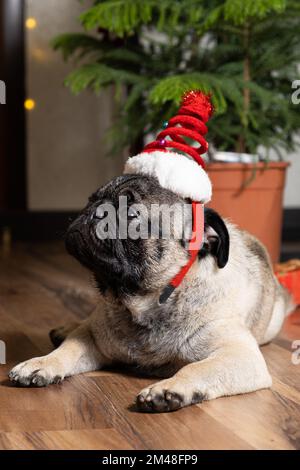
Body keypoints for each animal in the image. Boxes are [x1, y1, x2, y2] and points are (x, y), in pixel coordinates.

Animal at [7, 174, 292, 414]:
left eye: (133, 214)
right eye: (91, 199)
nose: (96, 210)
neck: (148, 301)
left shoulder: (239, 355)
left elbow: (197, 367)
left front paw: (169, 389)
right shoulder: (93, 337)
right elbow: (69, 349)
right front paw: (42, 363)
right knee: (83, 324)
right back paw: (66, 328)